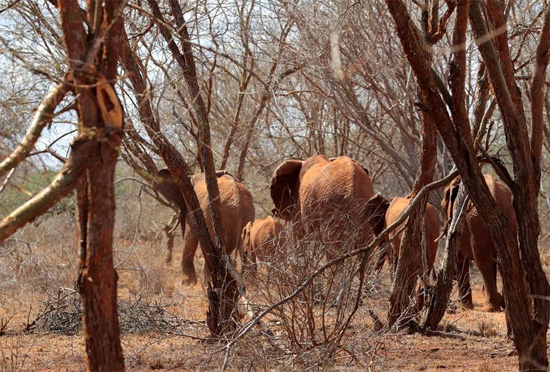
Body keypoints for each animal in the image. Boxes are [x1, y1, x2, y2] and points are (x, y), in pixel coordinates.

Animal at [440, 174, 516, 310]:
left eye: (443, 207)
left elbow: (459, 259)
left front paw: (465, 307)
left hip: (477, 223)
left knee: (483, 261)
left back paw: (491, 307)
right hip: (509, 219)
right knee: (508, 258)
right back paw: (504, 303)